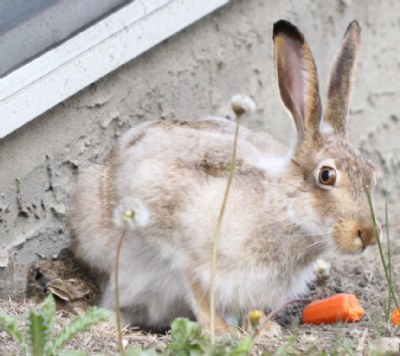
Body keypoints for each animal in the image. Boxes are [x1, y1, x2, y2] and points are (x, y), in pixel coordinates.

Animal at [68, 20, 378, 334]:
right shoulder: (188, 252)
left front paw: (265, 329)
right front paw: (221, 332)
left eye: (371, 174)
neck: (281, 208)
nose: (367, 234)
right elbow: (198, 292)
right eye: (326, 176)